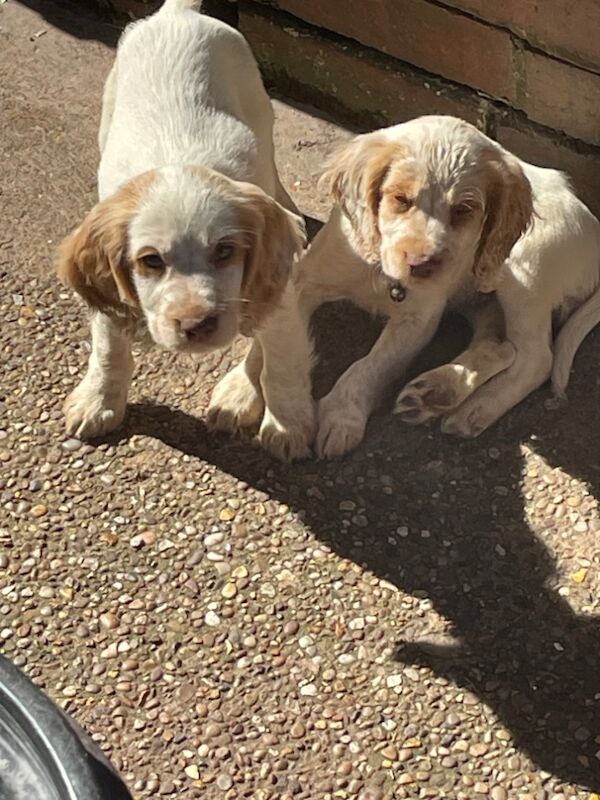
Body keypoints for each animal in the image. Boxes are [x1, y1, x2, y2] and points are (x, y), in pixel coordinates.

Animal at [57, 0, 304, 444]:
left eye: (224, 252)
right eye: (151, 261)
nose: (196, 325)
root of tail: (178, 14)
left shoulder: (279, 292)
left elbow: (282, 359)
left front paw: (287, 426)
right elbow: (109, 346)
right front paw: (99, 402)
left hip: (257, 105)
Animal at [212, 115, 600, 460]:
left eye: (464, 209)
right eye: (400, 199)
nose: (422, 264)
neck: (380, 270)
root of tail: (593, 226)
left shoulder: (418, 318)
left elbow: (370, 366)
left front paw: (342, 415)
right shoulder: (304, 280)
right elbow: (273, 342)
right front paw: (238, 392)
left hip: (523, 268)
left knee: (535, 357)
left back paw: (475, 409)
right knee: (498, 345)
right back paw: (438, 392)